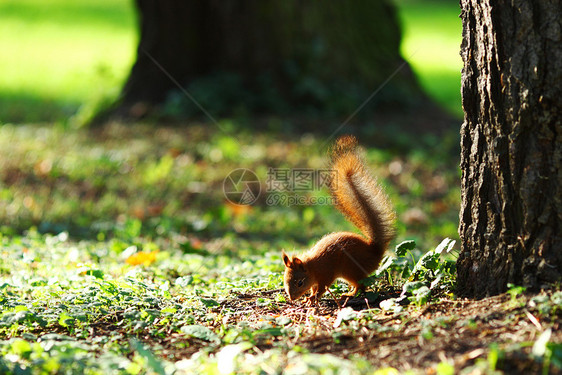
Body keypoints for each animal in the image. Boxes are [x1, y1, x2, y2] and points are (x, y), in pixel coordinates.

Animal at [280, 137, 394, 306]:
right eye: (285, 280)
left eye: (300, 282)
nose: (292, 298)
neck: (312, 267)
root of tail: (375, 252)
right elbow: (314, 288)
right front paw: (308, 297)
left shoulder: (326, 274)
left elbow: (321, 289)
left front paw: (312, 298)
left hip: (351, 270)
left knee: (361, 286)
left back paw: (349, 295)